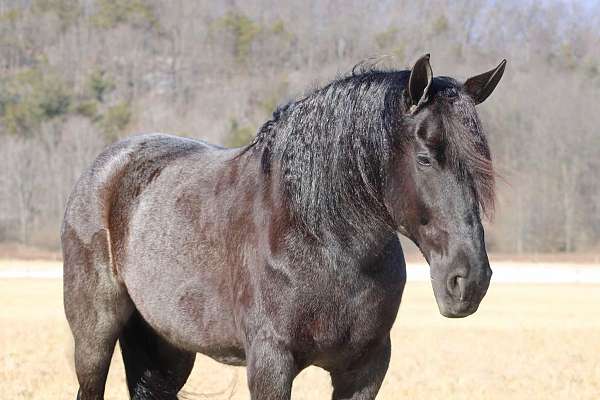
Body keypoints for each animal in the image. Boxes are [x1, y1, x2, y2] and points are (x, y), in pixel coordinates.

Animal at [63, 54, 506, 400]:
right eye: (425, 157)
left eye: (482, 161)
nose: (469, 281)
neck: (325, 241)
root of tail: (106, 167)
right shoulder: (271, 363)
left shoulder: (365, 369)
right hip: (95, 337)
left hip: (167, 345)